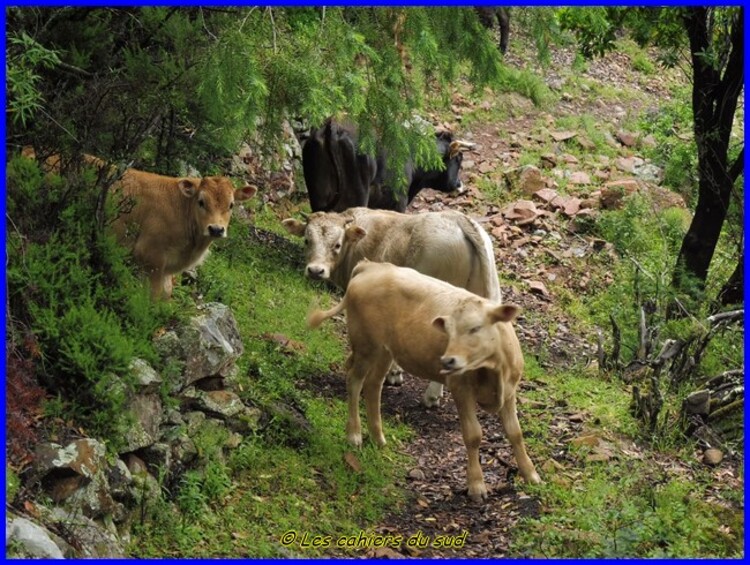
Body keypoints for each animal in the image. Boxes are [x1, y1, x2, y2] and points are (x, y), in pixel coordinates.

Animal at [300, 119, 470, 214]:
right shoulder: (398, 201)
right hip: (356, 198)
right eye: (458, 159)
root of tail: (334, 128)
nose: (459, 184)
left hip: (319, 195)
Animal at [308, 262, 544, 502]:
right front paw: (477, 485)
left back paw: (378, 437)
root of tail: (371, 266)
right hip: (366, 345)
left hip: (385, 351)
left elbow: (515, 433)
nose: (448, 360)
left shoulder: (509, 392)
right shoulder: (461, 389)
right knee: (354, 381)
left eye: (475, 328)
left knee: (373, 385)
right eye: (448, 332)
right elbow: (473, 435)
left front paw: (531, 474)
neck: (493, 369)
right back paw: (354, 434)